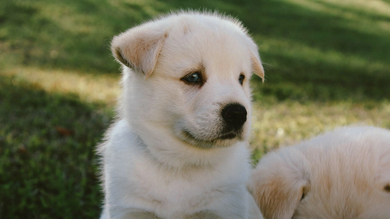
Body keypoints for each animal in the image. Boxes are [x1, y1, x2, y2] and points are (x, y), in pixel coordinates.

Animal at [98, 11, 266, 219]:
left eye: (241, 79)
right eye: (193, 77)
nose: (238, 114)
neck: (183, 165)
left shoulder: (224, 209)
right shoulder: (130, 209)